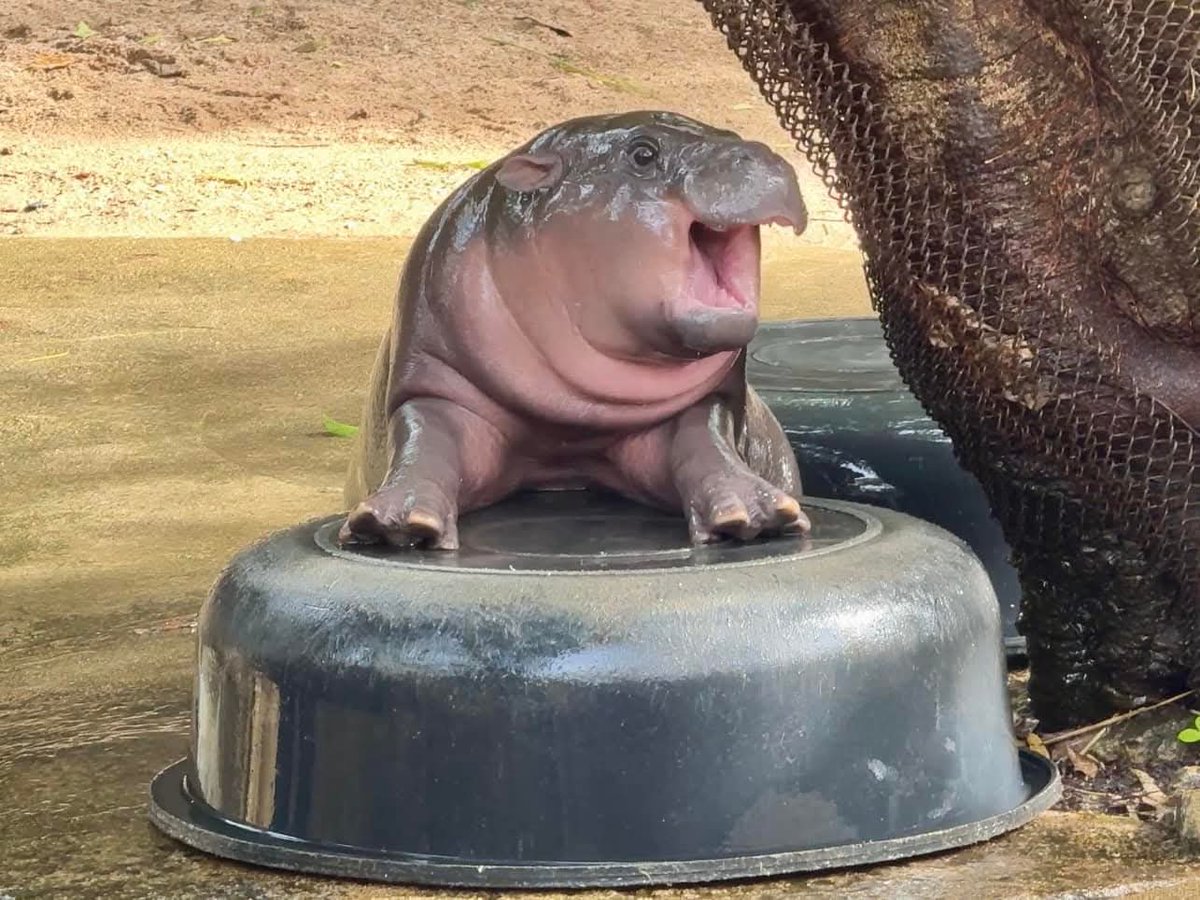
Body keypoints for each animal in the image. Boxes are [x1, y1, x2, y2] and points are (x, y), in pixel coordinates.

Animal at [338, 111, 811, 550]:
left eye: (731, 133)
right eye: (643, 153)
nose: (764, 156)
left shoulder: (700, 406)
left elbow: (706, 443)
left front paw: (759, 514)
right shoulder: (434, 380)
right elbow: (425, 441)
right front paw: (394, 522)